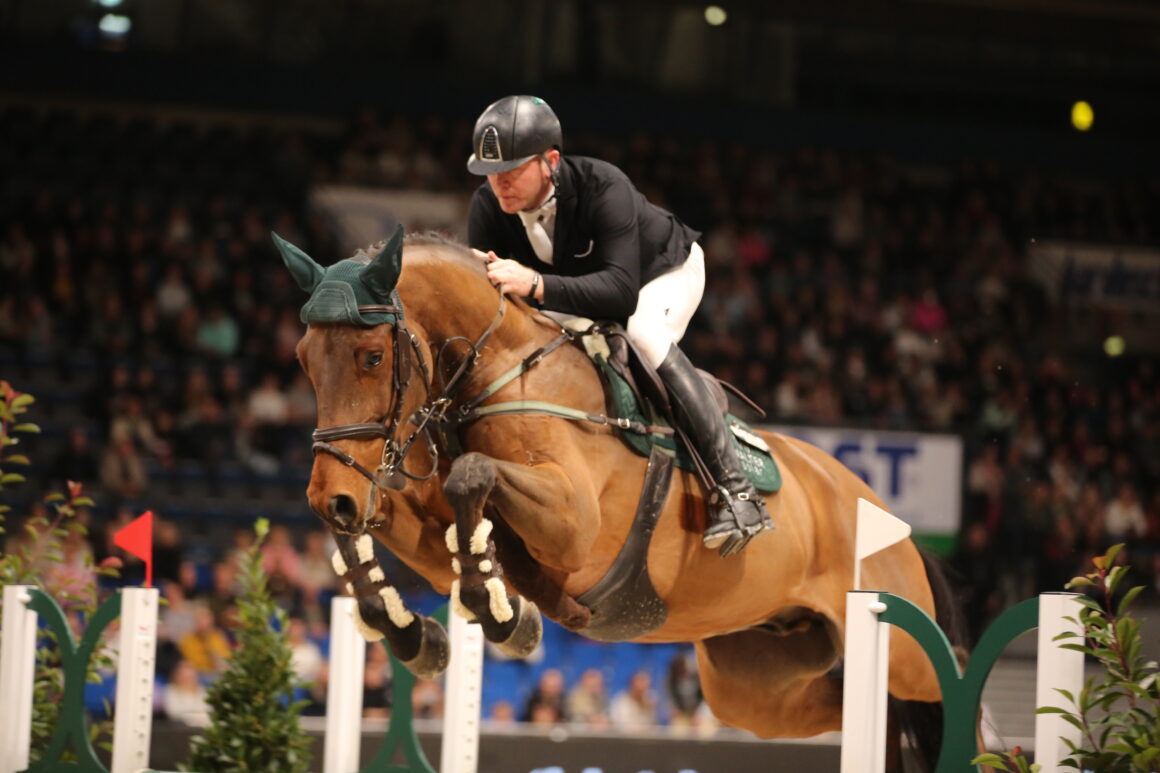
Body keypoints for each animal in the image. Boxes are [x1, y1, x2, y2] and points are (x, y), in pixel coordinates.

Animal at [273, 224, 960, 766]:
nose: (330, 496)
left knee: (942, 694)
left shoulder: (572, 526)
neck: (502, 370)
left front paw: (502, 615)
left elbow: (472, 473)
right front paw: (410, 628)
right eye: (303, 359)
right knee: (853, 709)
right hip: (751, 681)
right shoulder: (435, 537)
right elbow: (392, 527)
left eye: (369, 356)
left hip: (900, 647)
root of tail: (887, 517)